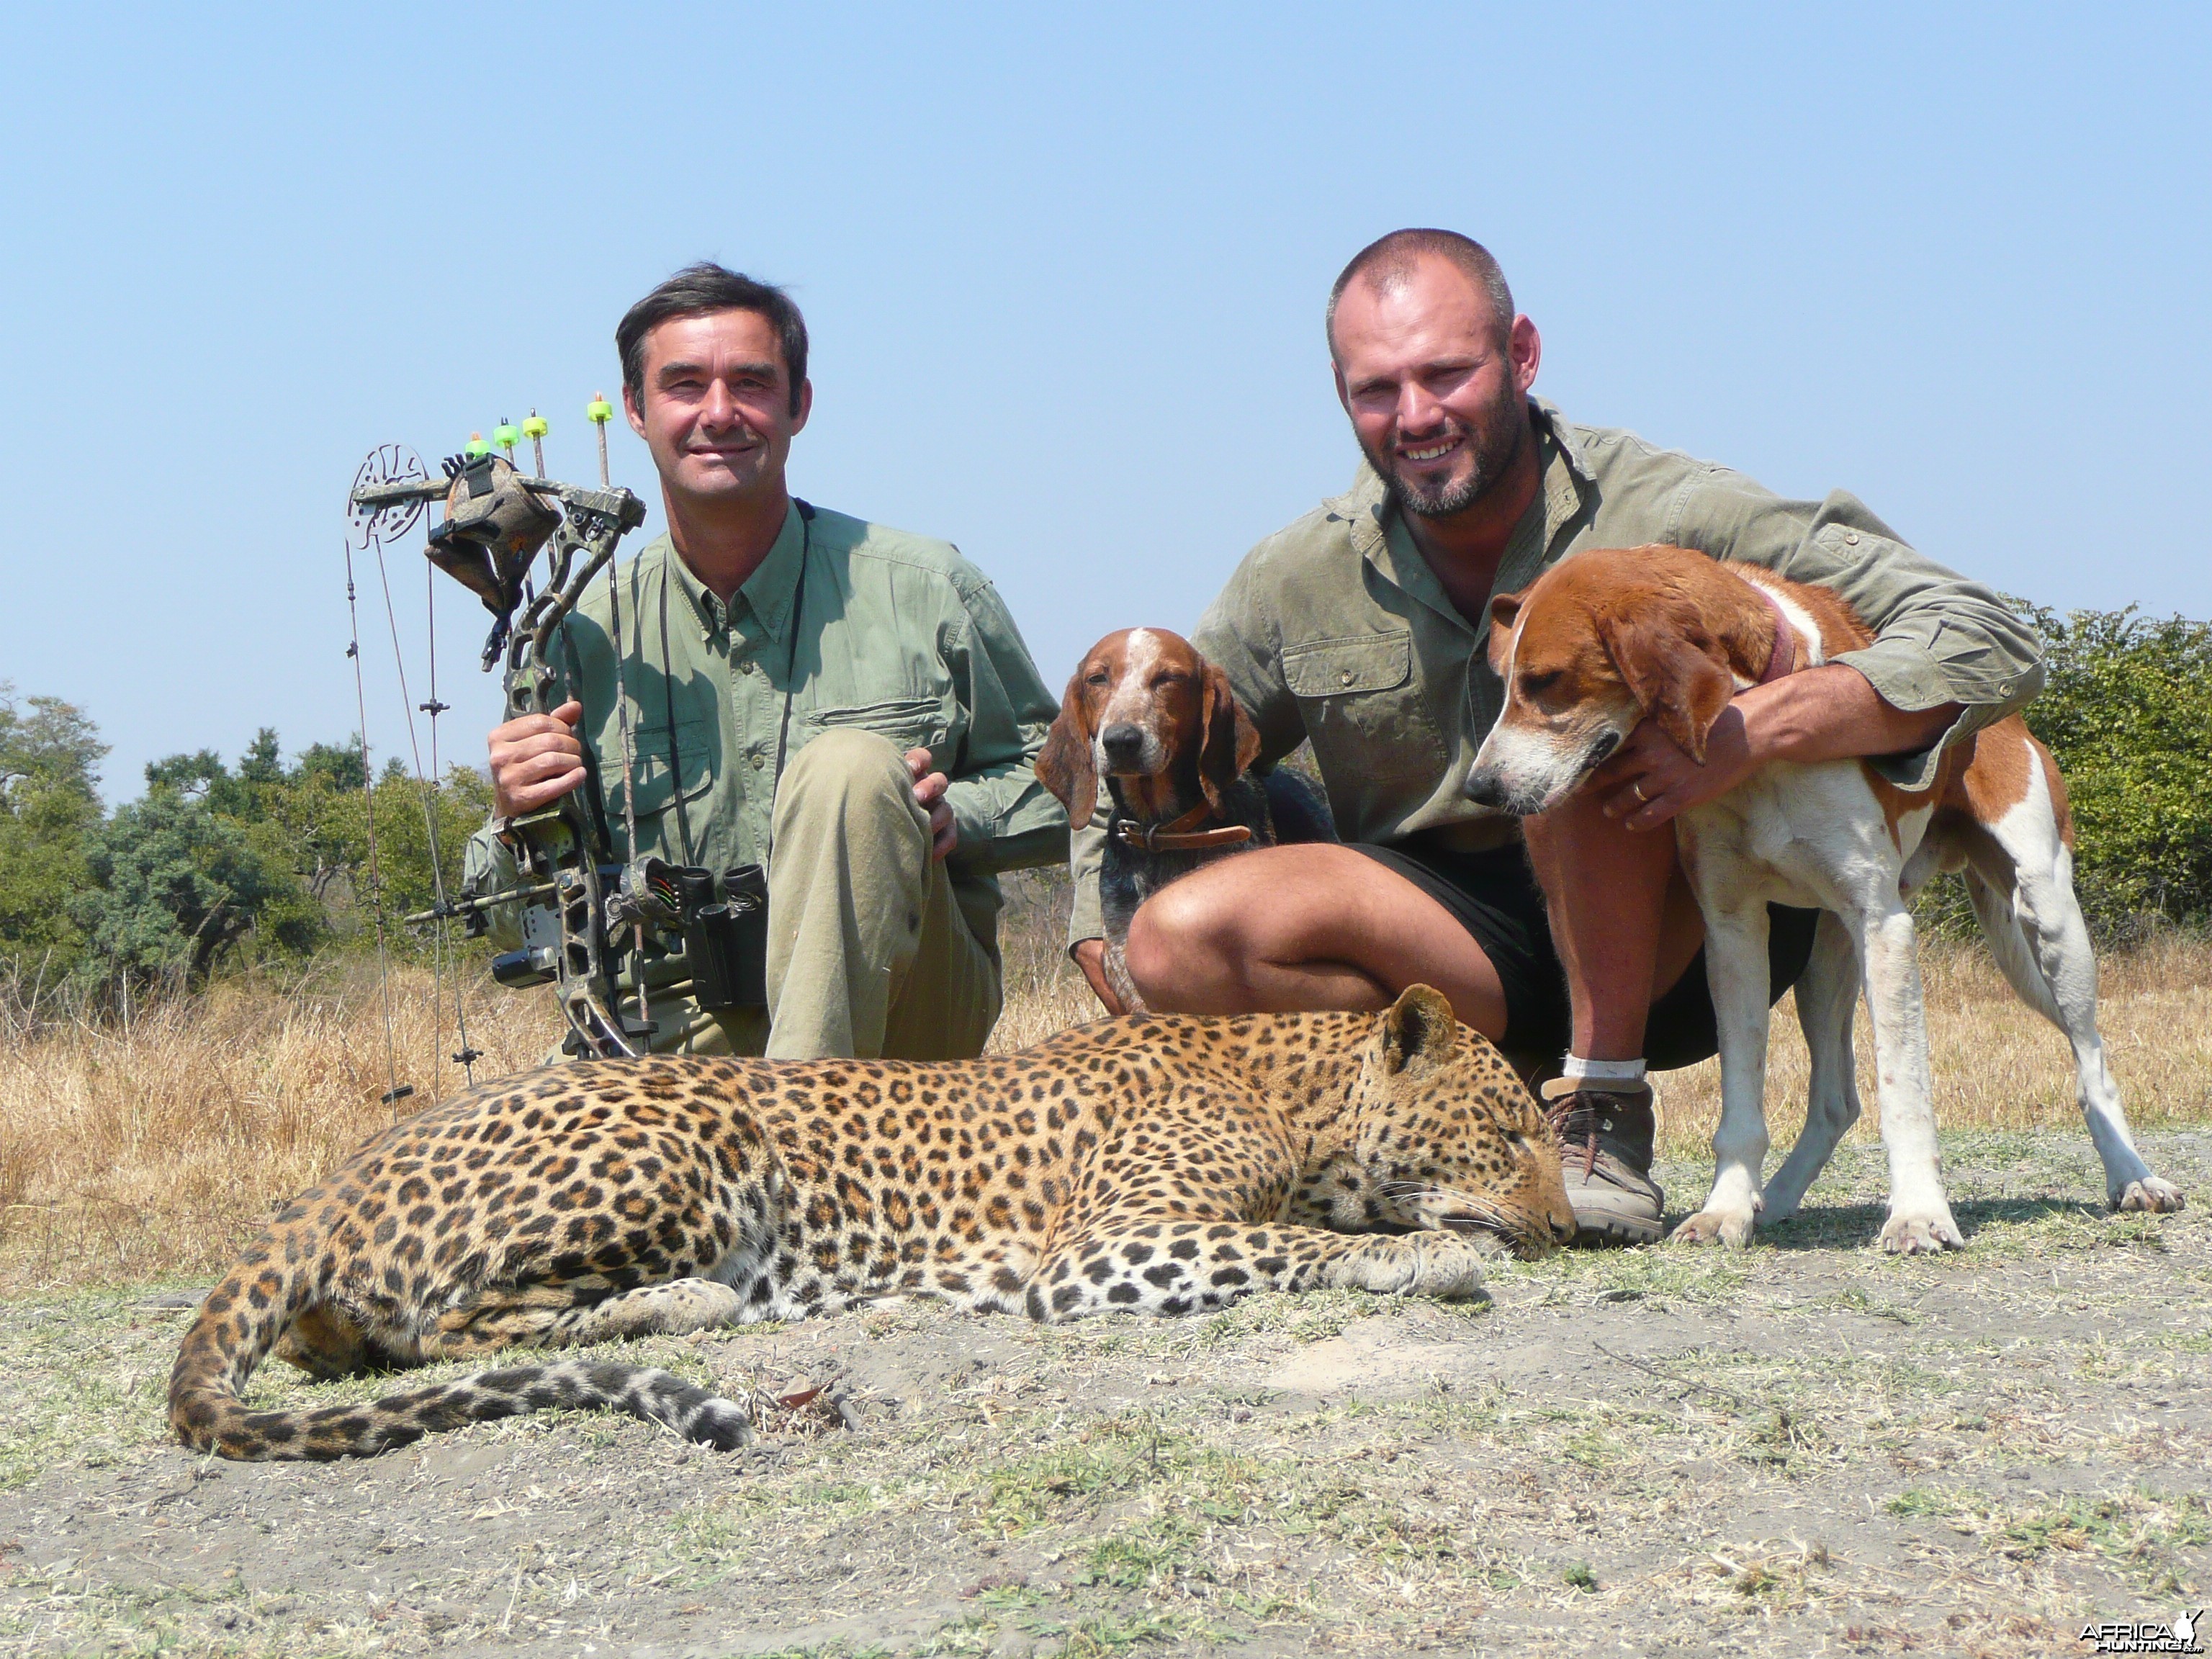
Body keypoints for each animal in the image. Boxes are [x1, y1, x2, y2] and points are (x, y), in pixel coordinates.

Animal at [168, 995, 1575, 1460]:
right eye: (1510, 1130)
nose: (1570, 1229)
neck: (1294, 1092)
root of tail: (330, 1178)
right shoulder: (1103, 1247)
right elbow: (1304, 1244)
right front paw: (1436, 1252)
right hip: (696, 1139)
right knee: (452, 1322)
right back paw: (698, 1301)